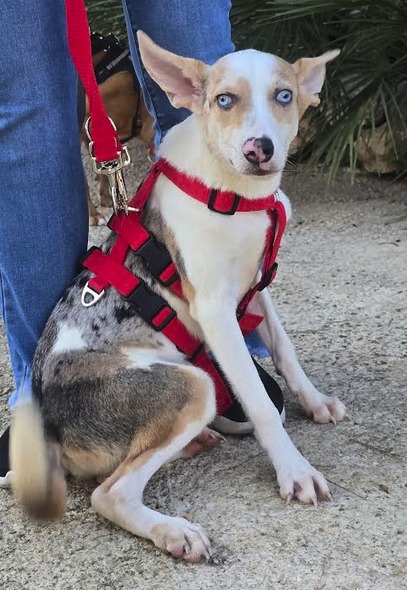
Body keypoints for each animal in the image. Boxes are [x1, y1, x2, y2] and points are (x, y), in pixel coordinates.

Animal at [10, 33, 346, 562]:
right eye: (223, 100)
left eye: (284, 95)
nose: (259, 149)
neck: (233, 190)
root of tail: (49, 430)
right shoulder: (215, 307)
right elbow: (258, 401)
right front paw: (294, 470)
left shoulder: (254, 285)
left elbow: (284, 350)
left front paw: (314, 401)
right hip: (194, 386)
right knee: (111, 493)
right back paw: (173, 531)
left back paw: (196, 445)